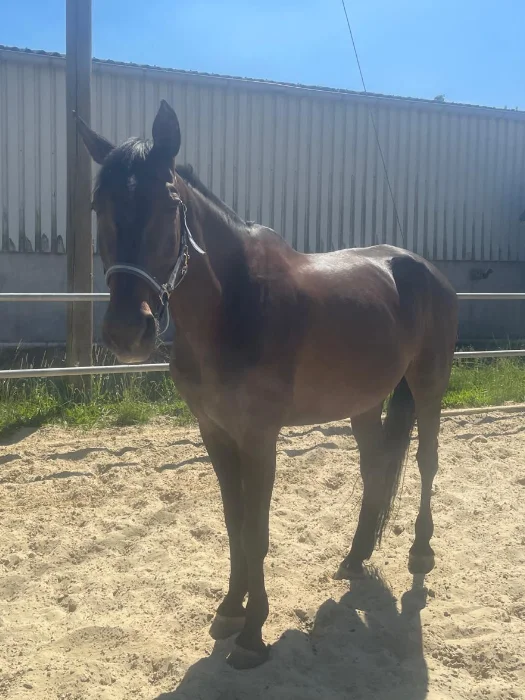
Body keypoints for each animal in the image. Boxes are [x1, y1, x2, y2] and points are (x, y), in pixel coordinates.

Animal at [77, 100, 458, 670]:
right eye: (99, 204)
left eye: (167, 204)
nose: (127, 330)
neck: (233, 306)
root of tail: (425, 270)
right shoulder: (215, 433)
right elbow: (235, 525)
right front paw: (229, 610)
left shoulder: (260, 438)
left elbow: (256, 533)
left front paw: (254, 634)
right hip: (364, 404)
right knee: (374, 472)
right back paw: (355, 557)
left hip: (429, 386)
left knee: (426, 462)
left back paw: (421, 551)